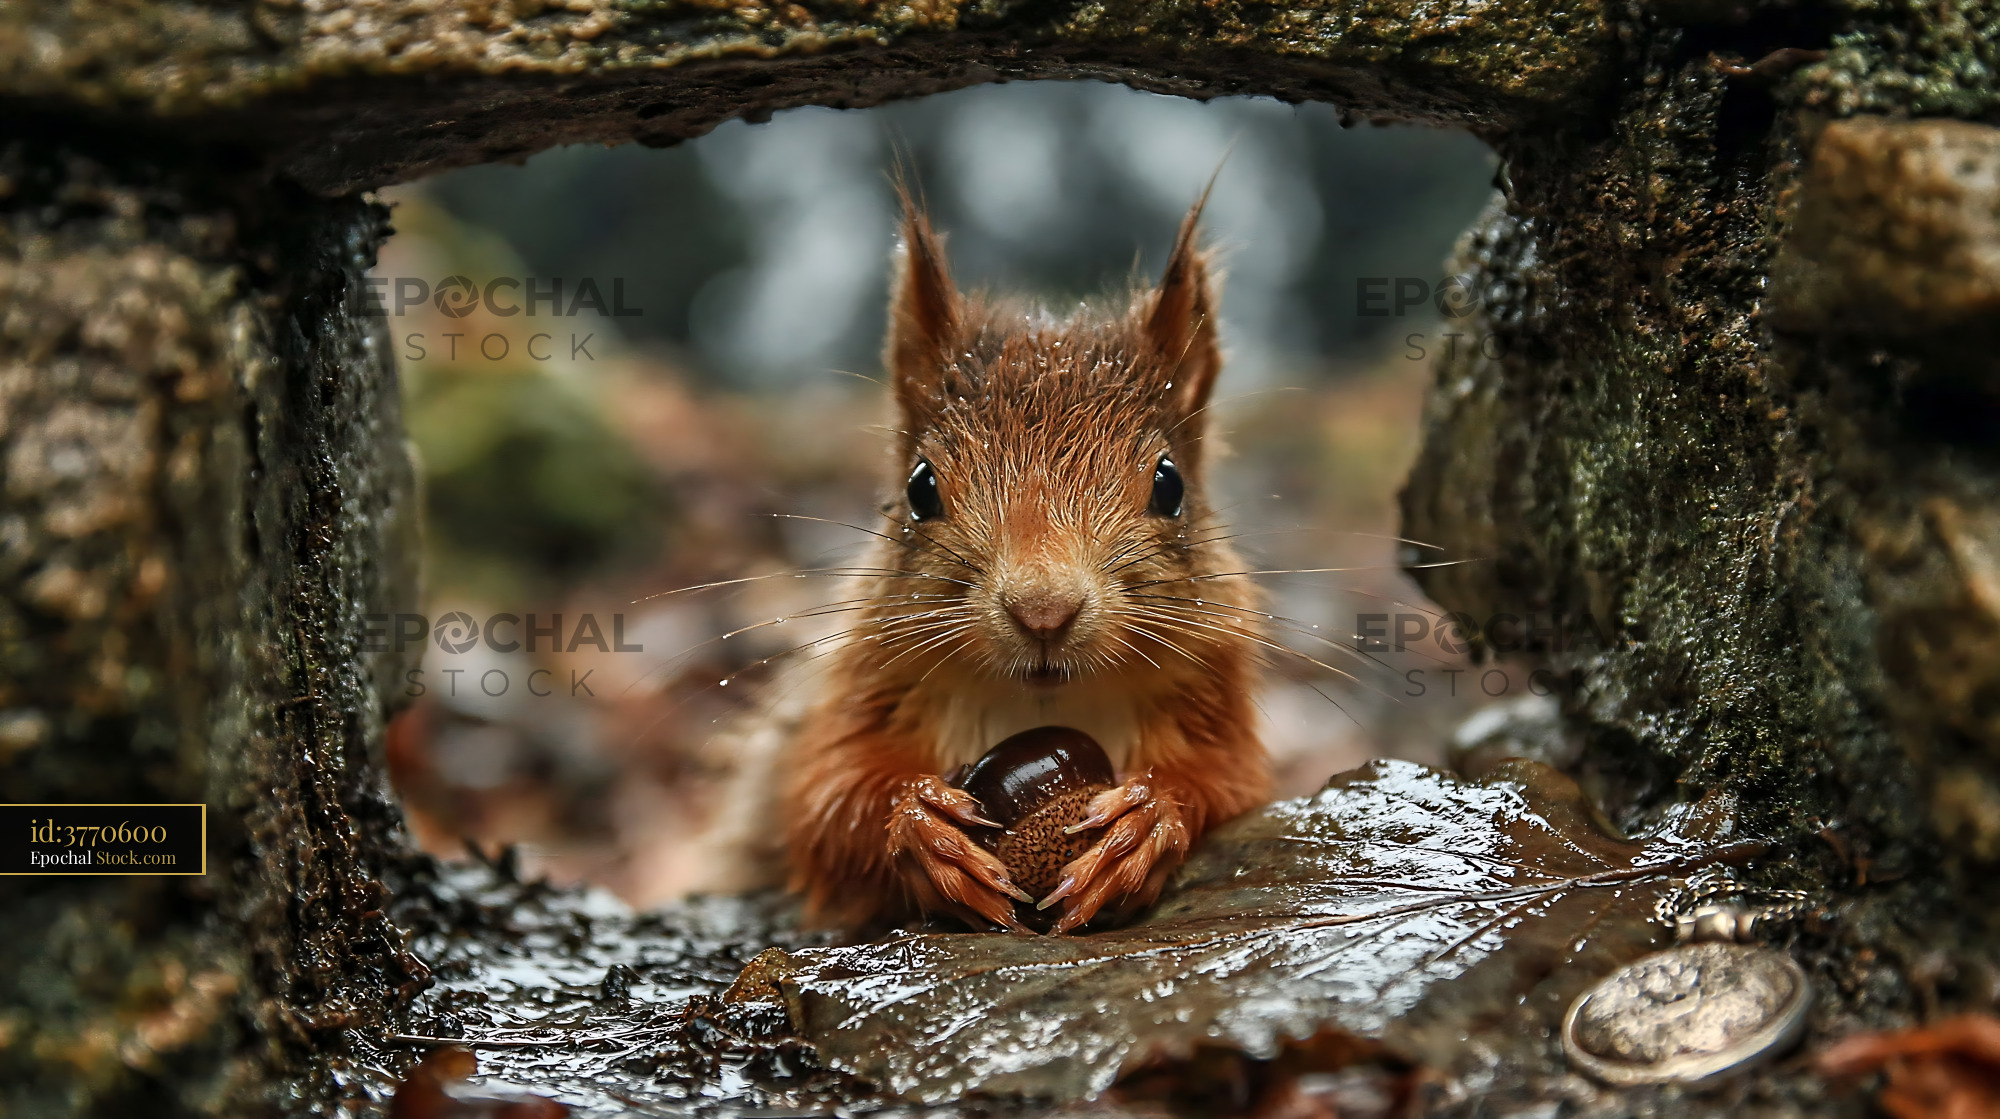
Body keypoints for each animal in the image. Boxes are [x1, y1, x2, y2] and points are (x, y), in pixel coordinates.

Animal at [709, 190, 1270, 936]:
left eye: (1170, 484)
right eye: (920, 487)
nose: (1044, 610)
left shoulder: (1217, 698)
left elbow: (1231, 783)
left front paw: (1146, 820)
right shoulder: (853, 696)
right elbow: (824, 801)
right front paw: (920, 822)